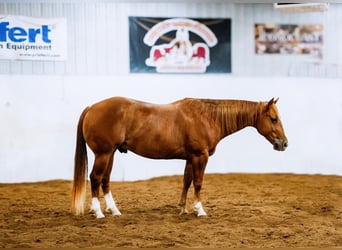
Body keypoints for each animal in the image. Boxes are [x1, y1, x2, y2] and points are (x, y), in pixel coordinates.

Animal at [72, 96, 288, 218]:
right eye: (273, 119)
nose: (284, 143)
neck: (207, 117)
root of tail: (92, 107)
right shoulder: (200, 156)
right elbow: (198, 183)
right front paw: (199, 209)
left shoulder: (190, 158)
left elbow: (187, 181)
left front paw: (183, 209)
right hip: (103, 154)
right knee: (95, 178)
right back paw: (98, 212)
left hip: (110, 154)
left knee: (105, 180)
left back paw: (114, 211)